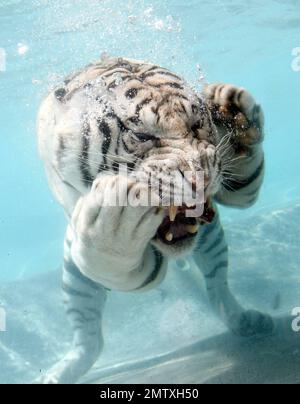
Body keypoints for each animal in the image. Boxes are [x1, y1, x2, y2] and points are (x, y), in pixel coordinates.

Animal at [36, 55, 274, 384]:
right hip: (75, 279)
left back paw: (248, 321)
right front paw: (118, 215)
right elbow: (120, 258)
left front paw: (232, 105)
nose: (201, 180)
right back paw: (55, 375)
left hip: (213, 245)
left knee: (218, 287)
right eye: (142, 136)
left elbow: (243, 190)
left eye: (196, 124)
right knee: (89, 339)